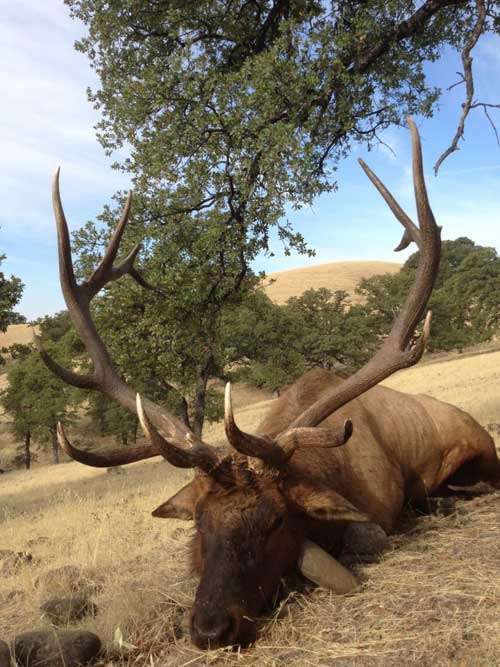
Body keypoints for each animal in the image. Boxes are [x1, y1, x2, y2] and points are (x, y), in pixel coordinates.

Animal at [40, 117, 500, 648]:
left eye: (276, 519)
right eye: (200, 522)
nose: (211, 627)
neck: (334, 471)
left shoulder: (380, 508)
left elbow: (366, 535)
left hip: (474, 455)